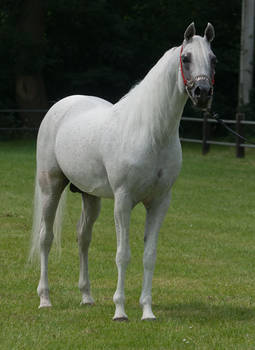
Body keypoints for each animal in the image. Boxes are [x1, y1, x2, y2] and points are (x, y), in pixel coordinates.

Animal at [30, 22, 217, 320]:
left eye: (213, 59)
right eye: (186, 58)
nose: (202, 93)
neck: (151, 132)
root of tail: (61, 106)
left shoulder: (159, 203)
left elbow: (149, 255)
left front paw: (147, 311)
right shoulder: (123, 201)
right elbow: (123, 254)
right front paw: (120, 310)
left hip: (89, 196)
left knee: (83, 238)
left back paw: (86, 296)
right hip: (51, 187)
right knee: (45, 239)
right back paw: (45, 299)